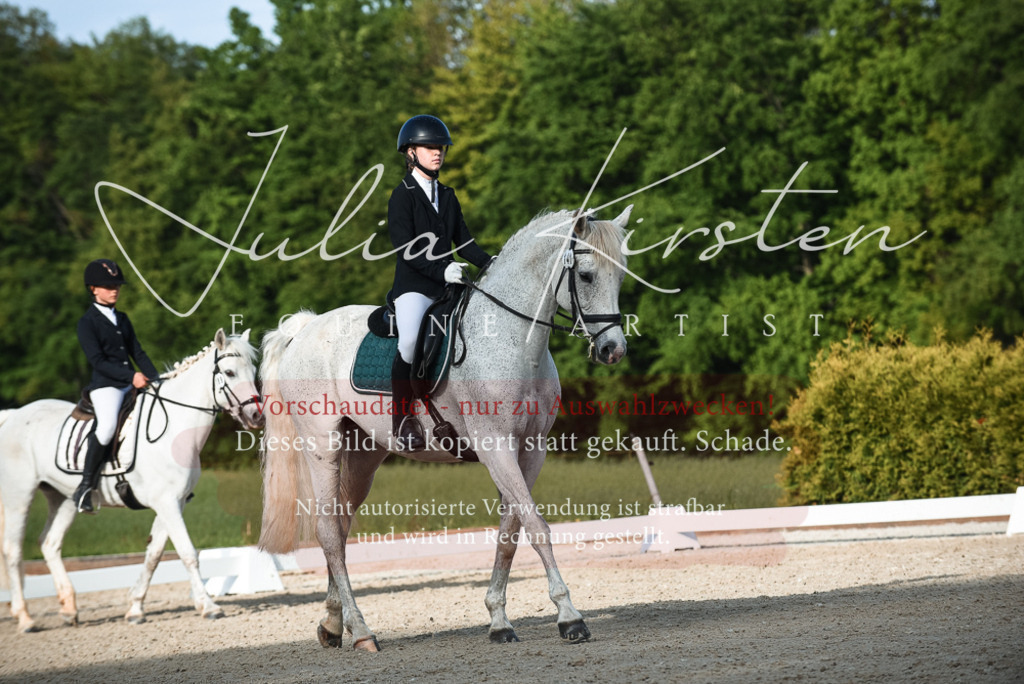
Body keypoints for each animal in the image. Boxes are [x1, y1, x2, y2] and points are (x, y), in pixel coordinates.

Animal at [0, 328, 264, 632]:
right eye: (230, 372)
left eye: (253, 371)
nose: (257, 416)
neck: (174, 429)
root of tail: (14, 415)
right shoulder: (167, 503)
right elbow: (187, 552)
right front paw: (209, 607)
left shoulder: (174, 503)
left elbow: (154, 555)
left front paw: (135, 608)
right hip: (19, 495)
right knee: (13, 550)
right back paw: (25, 618)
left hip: (63, 498)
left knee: (49, 544)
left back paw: (69, 610)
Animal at [257, 206, 632, 651]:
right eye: (587, 276)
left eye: (620, 275)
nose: (613, 350)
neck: (514, 342)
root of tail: (307, 328)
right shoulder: (495, 447)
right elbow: (537, 527)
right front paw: (570, 617)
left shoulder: (530, 450)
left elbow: (510, 532)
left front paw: (499, 621)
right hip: (322, 444)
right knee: (329, 531)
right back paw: (362, 632)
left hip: (364, 453)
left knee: (343, 527)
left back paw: (334, 624)